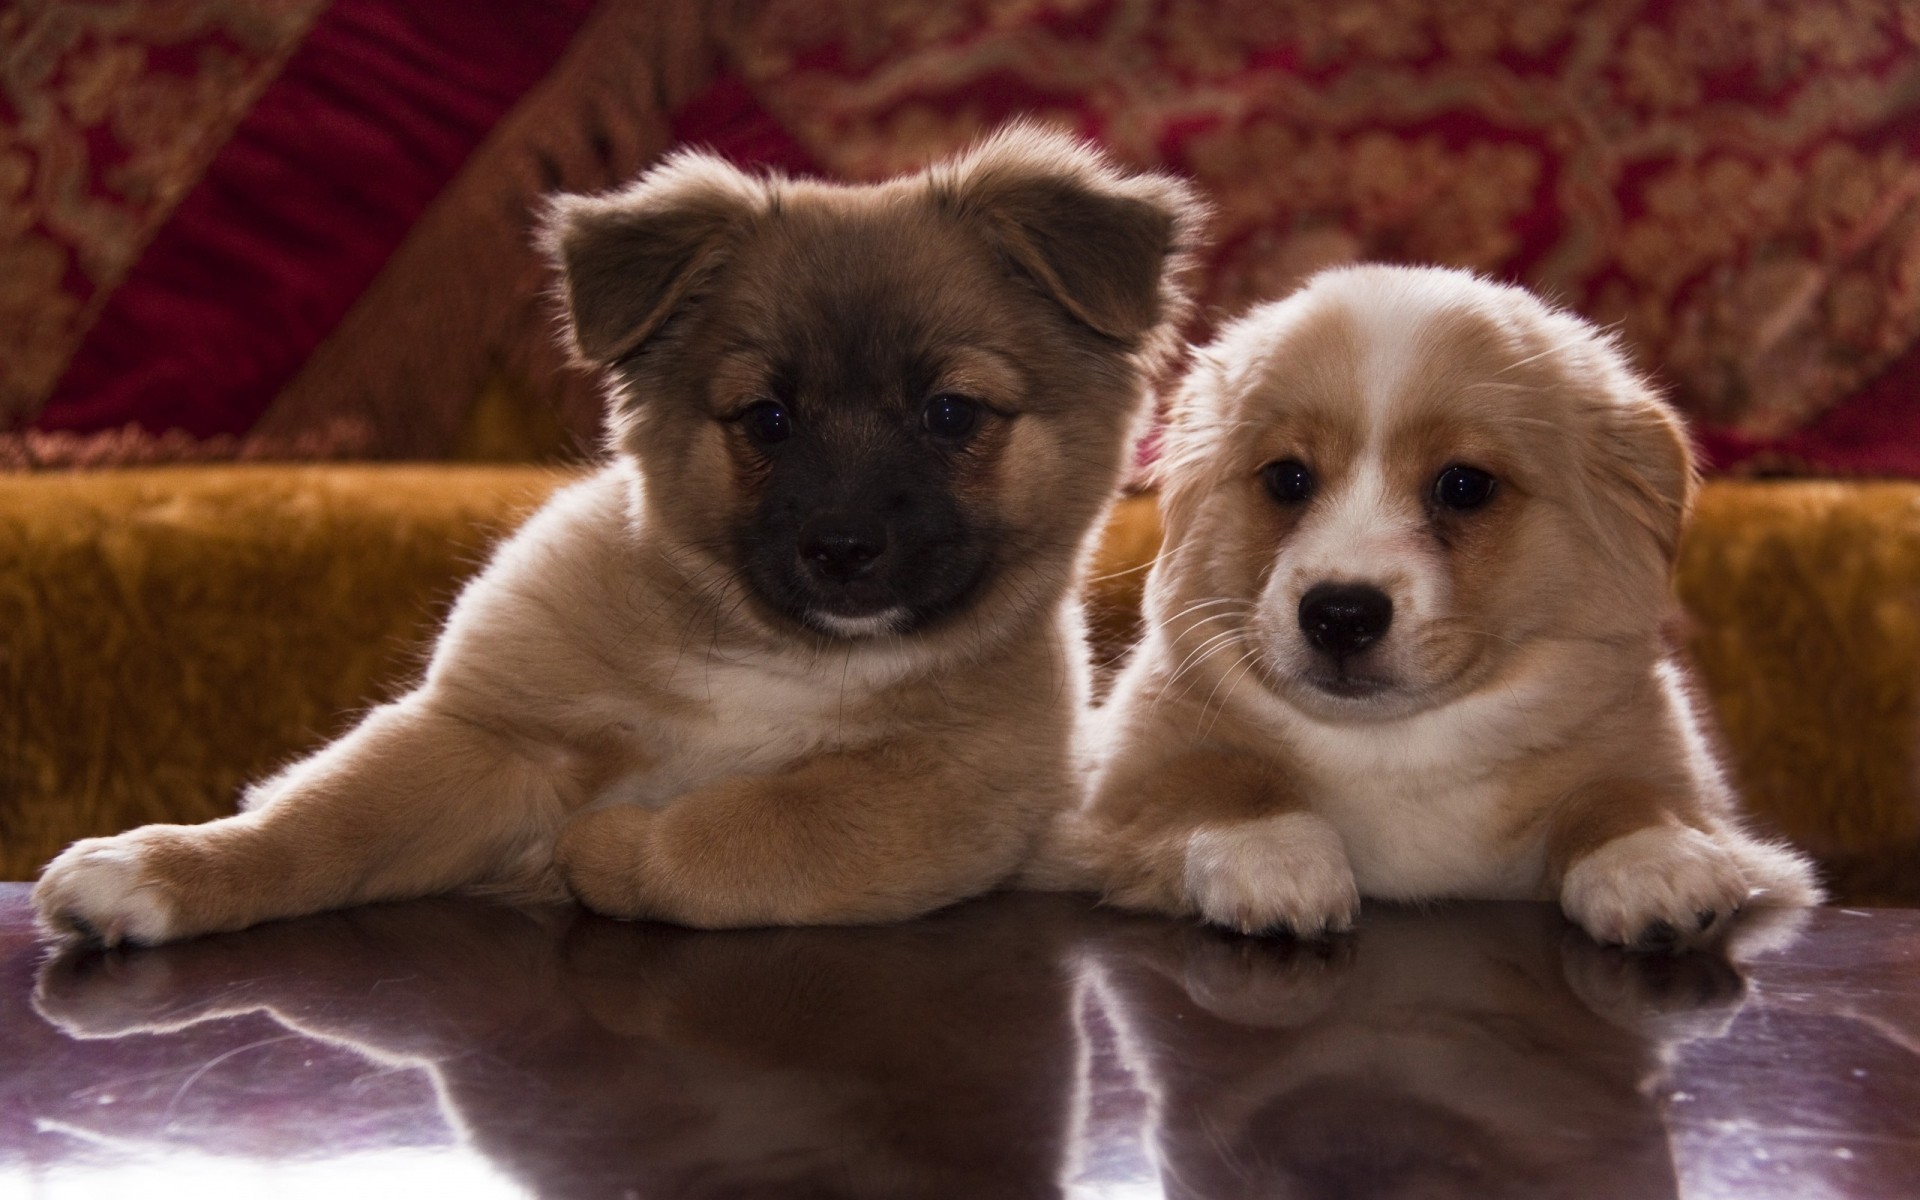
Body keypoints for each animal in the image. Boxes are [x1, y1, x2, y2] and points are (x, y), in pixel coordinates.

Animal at [33, 126, 1198, 940]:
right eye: (765, 420)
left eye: (951, 415)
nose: (841, 548)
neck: (780, 655)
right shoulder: (490, 734)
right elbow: (319, 824)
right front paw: (168, 871)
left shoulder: (950, 792)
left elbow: (748, 829)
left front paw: (607, 850)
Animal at [1044, 266, 1820, 948]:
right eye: (1287, 478)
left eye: (1465, 486)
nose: (1340, 615)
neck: (1394, 749)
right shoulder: (1111, 798)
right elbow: (1219, 776)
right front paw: (1272, 855)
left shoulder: (1668, 771)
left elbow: (1621, 791)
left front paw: (1650, 861)